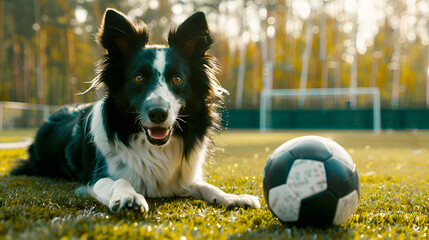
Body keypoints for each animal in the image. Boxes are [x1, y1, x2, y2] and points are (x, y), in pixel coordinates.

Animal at [11, 8, 260, 212]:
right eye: (138, 78)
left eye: (177, 79)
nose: (158, 113)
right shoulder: (98, 177)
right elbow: (121, 180)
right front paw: (128, 197)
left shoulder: (184, 178)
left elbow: (207, 186)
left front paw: (233, 197)